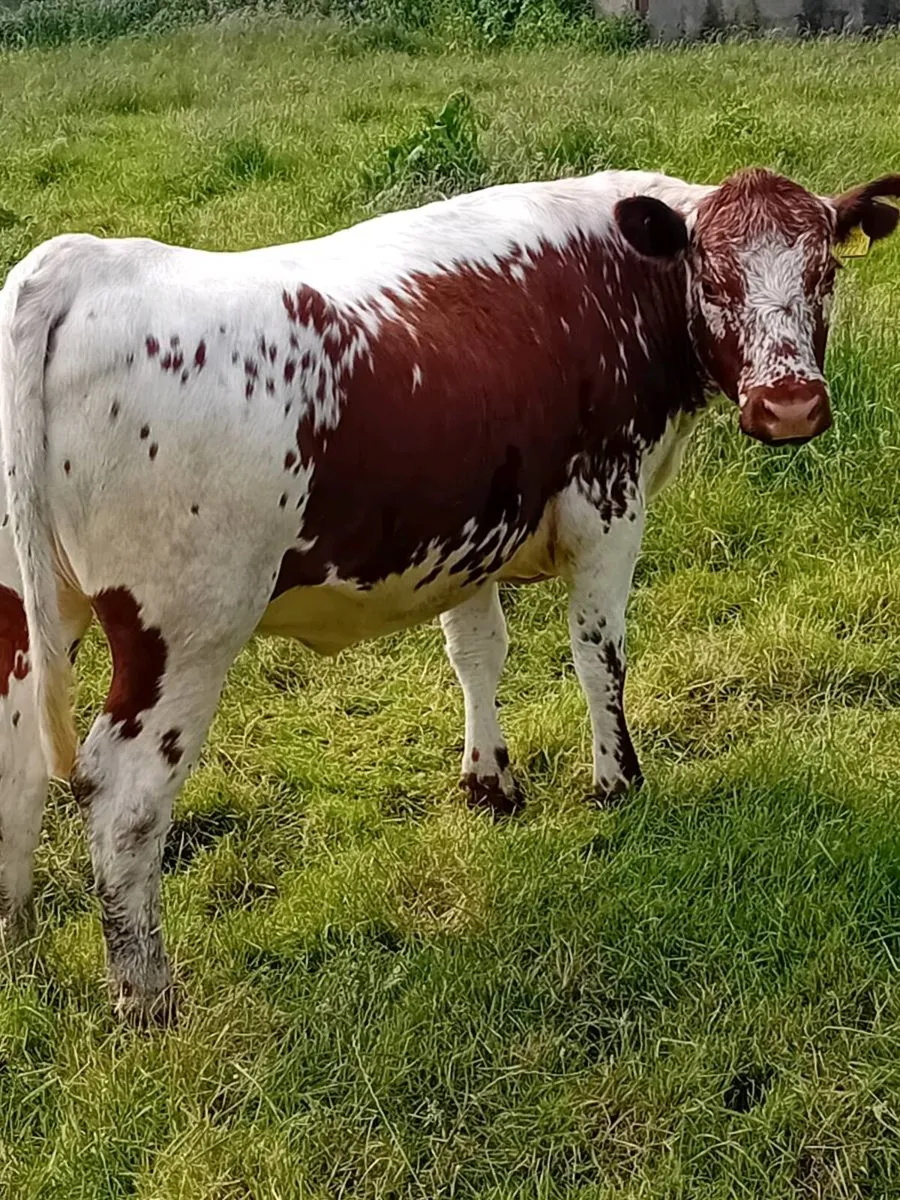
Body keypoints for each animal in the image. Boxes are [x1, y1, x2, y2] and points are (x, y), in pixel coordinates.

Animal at [0, 166, 898, 1024]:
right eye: (711, 276)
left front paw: (489, 785)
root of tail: (80, 262)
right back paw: (147, 998)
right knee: (124, 798)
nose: (789, 406)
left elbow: (478, 655)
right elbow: (598, 654)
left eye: (824, 271)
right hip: (183, 630)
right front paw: (617, 784)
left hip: (25, 614)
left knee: (17, 763)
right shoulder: (609, 503)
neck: (615, 281)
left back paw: (18, 948)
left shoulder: (473, 528)